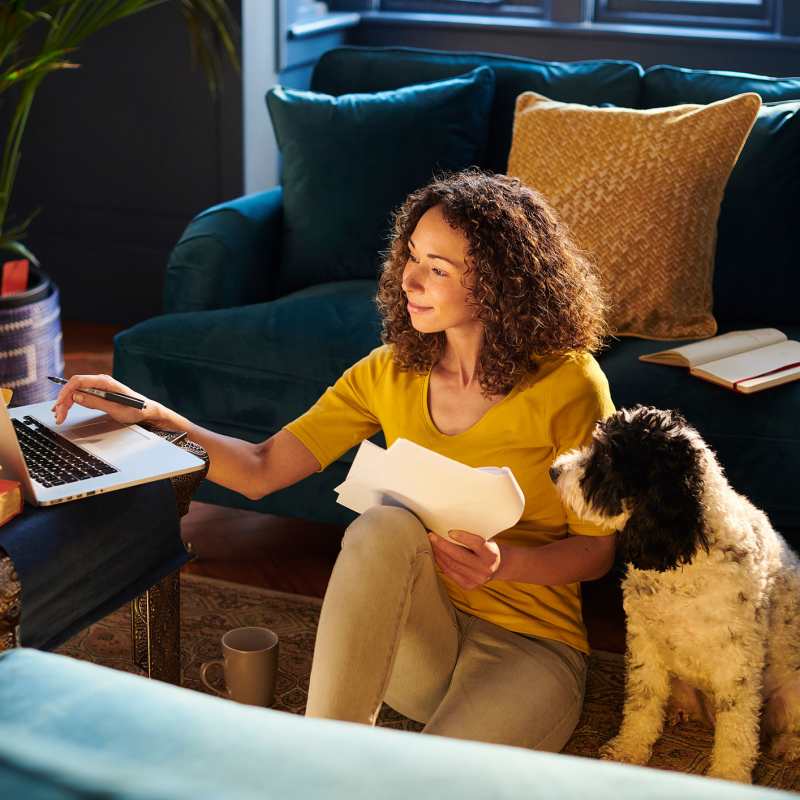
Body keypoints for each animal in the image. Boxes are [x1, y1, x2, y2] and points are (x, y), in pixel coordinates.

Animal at [552, 410, 800, 784]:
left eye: (607, 459)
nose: (554, 471)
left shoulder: (737, 661)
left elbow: (736, 732)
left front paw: (728, 778)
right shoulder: (644, 641)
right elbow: (642, 702)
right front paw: (629, 749)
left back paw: (789, 747)